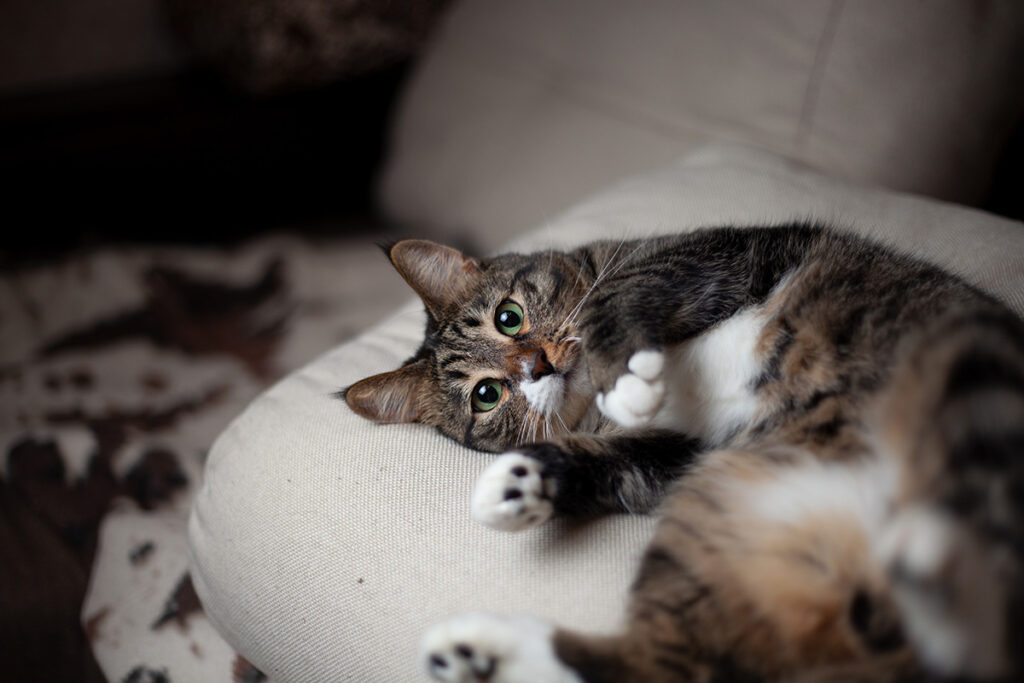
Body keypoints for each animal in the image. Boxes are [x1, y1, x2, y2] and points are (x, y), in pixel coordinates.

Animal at [344, 227, 1024, 683]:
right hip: (715, 510)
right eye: (486, 395)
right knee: (666, 667)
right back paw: (476, 646)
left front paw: (619, 371)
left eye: (508, 318)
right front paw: (518, 482)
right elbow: (621, 462)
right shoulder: (689, 450)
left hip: (963, 352)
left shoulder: (718, 251)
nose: (537, 366)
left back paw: (936, 566)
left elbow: (623, 287)